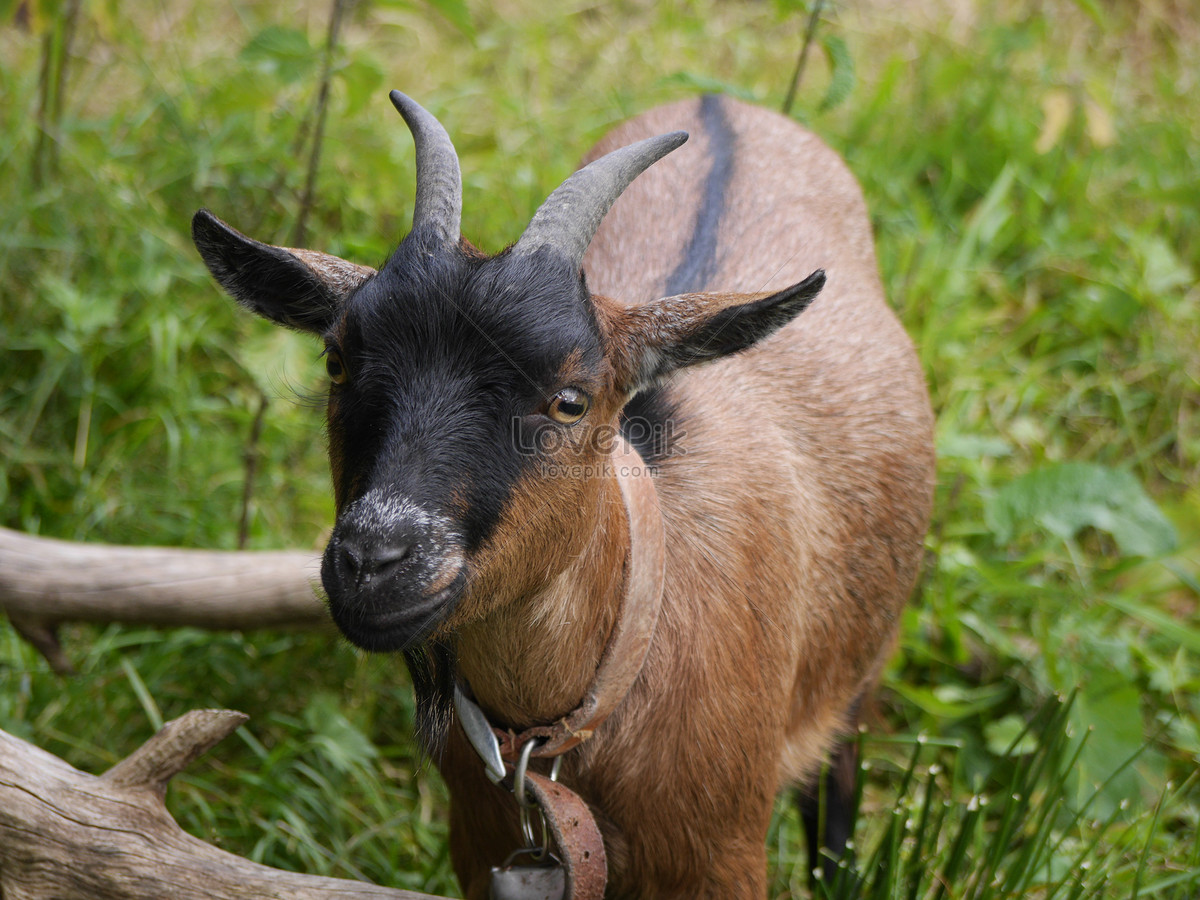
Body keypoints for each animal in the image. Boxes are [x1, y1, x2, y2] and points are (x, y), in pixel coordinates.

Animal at [192, 93, 936, 900]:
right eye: (336, 359)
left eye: (571, 400)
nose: (373, 563)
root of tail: (723, 103)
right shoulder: (478, 842)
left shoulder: (721, 857)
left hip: (859, 668)